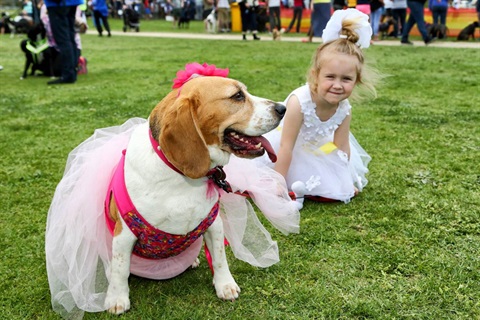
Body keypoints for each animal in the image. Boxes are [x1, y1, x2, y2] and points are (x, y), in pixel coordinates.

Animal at [104, 74, 284, 312]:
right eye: (237, 96)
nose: (282, 108)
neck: (181, 177)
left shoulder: (213, 223)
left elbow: (219, 258)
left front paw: (225, 285)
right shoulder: (124, 233)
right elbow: (120, 268)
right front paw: (117, 298)